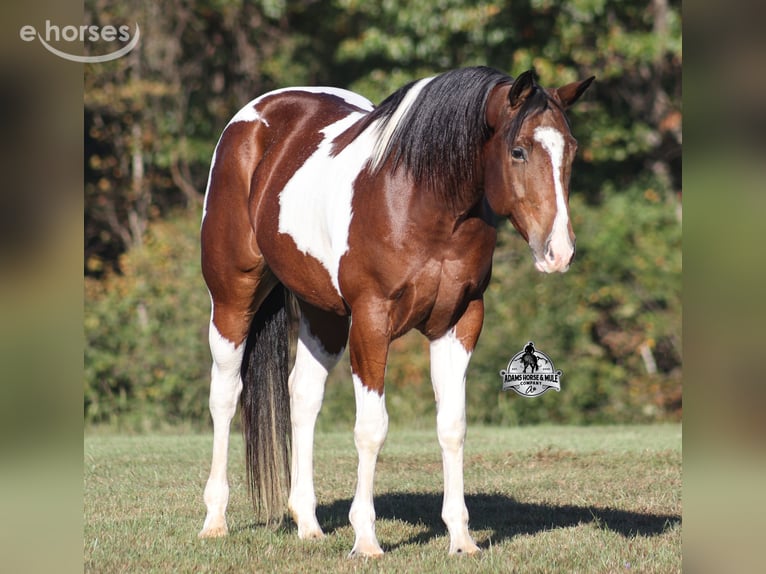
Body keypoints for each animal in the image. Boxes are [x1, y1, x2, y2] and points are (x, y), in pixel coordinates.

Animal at [197, 66, 593, 556]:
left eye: (570, 149)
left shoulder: (459, 323)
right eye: (518, 150)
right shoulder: (371, 322)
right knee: (225, 394)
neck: (422, 200)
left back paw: (308, 523)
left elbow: (452, 425)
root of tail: (255, 117)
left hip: (323, 313)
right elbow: (372, 428)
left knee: (303, 394)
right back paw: (215, 520)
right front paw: (366, 539)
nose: (559, 251)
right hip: (232, 297)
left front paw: (461, 538)